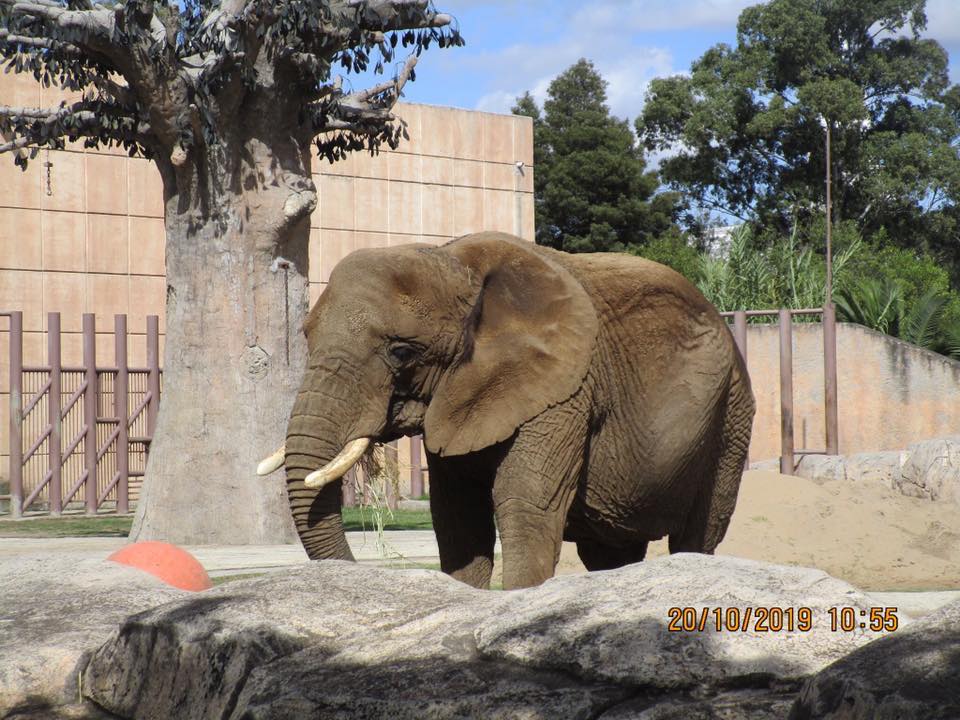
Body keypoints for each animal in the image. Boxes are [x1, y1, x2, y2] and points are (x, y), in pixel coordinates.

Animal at [258, 231, 752, 592]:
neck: (454, 262)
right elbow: (457, 515)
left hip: (731, 415)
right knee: (609, 552)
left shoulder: (565, 390)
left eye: (401, 352)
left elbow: (524, 502)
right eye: (306, 336)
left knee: (698, 535)